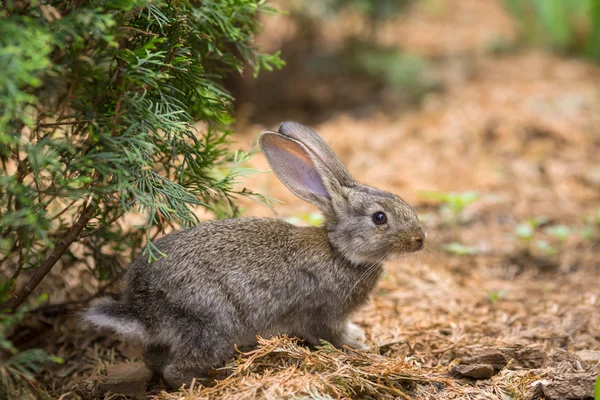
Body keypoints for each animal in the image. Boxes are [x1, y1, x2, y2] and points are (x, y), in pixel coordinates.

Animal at [83, 121, 426, 388]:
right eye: (379, 218)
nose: (420, 240)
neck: (339, 251)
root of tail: (143, 308)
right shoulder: (323, 314)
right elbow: (330, 336)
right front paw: (356, 347)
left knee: (153, 361)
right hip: (215, 325)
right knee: (175, 370)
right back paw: (217, 378)